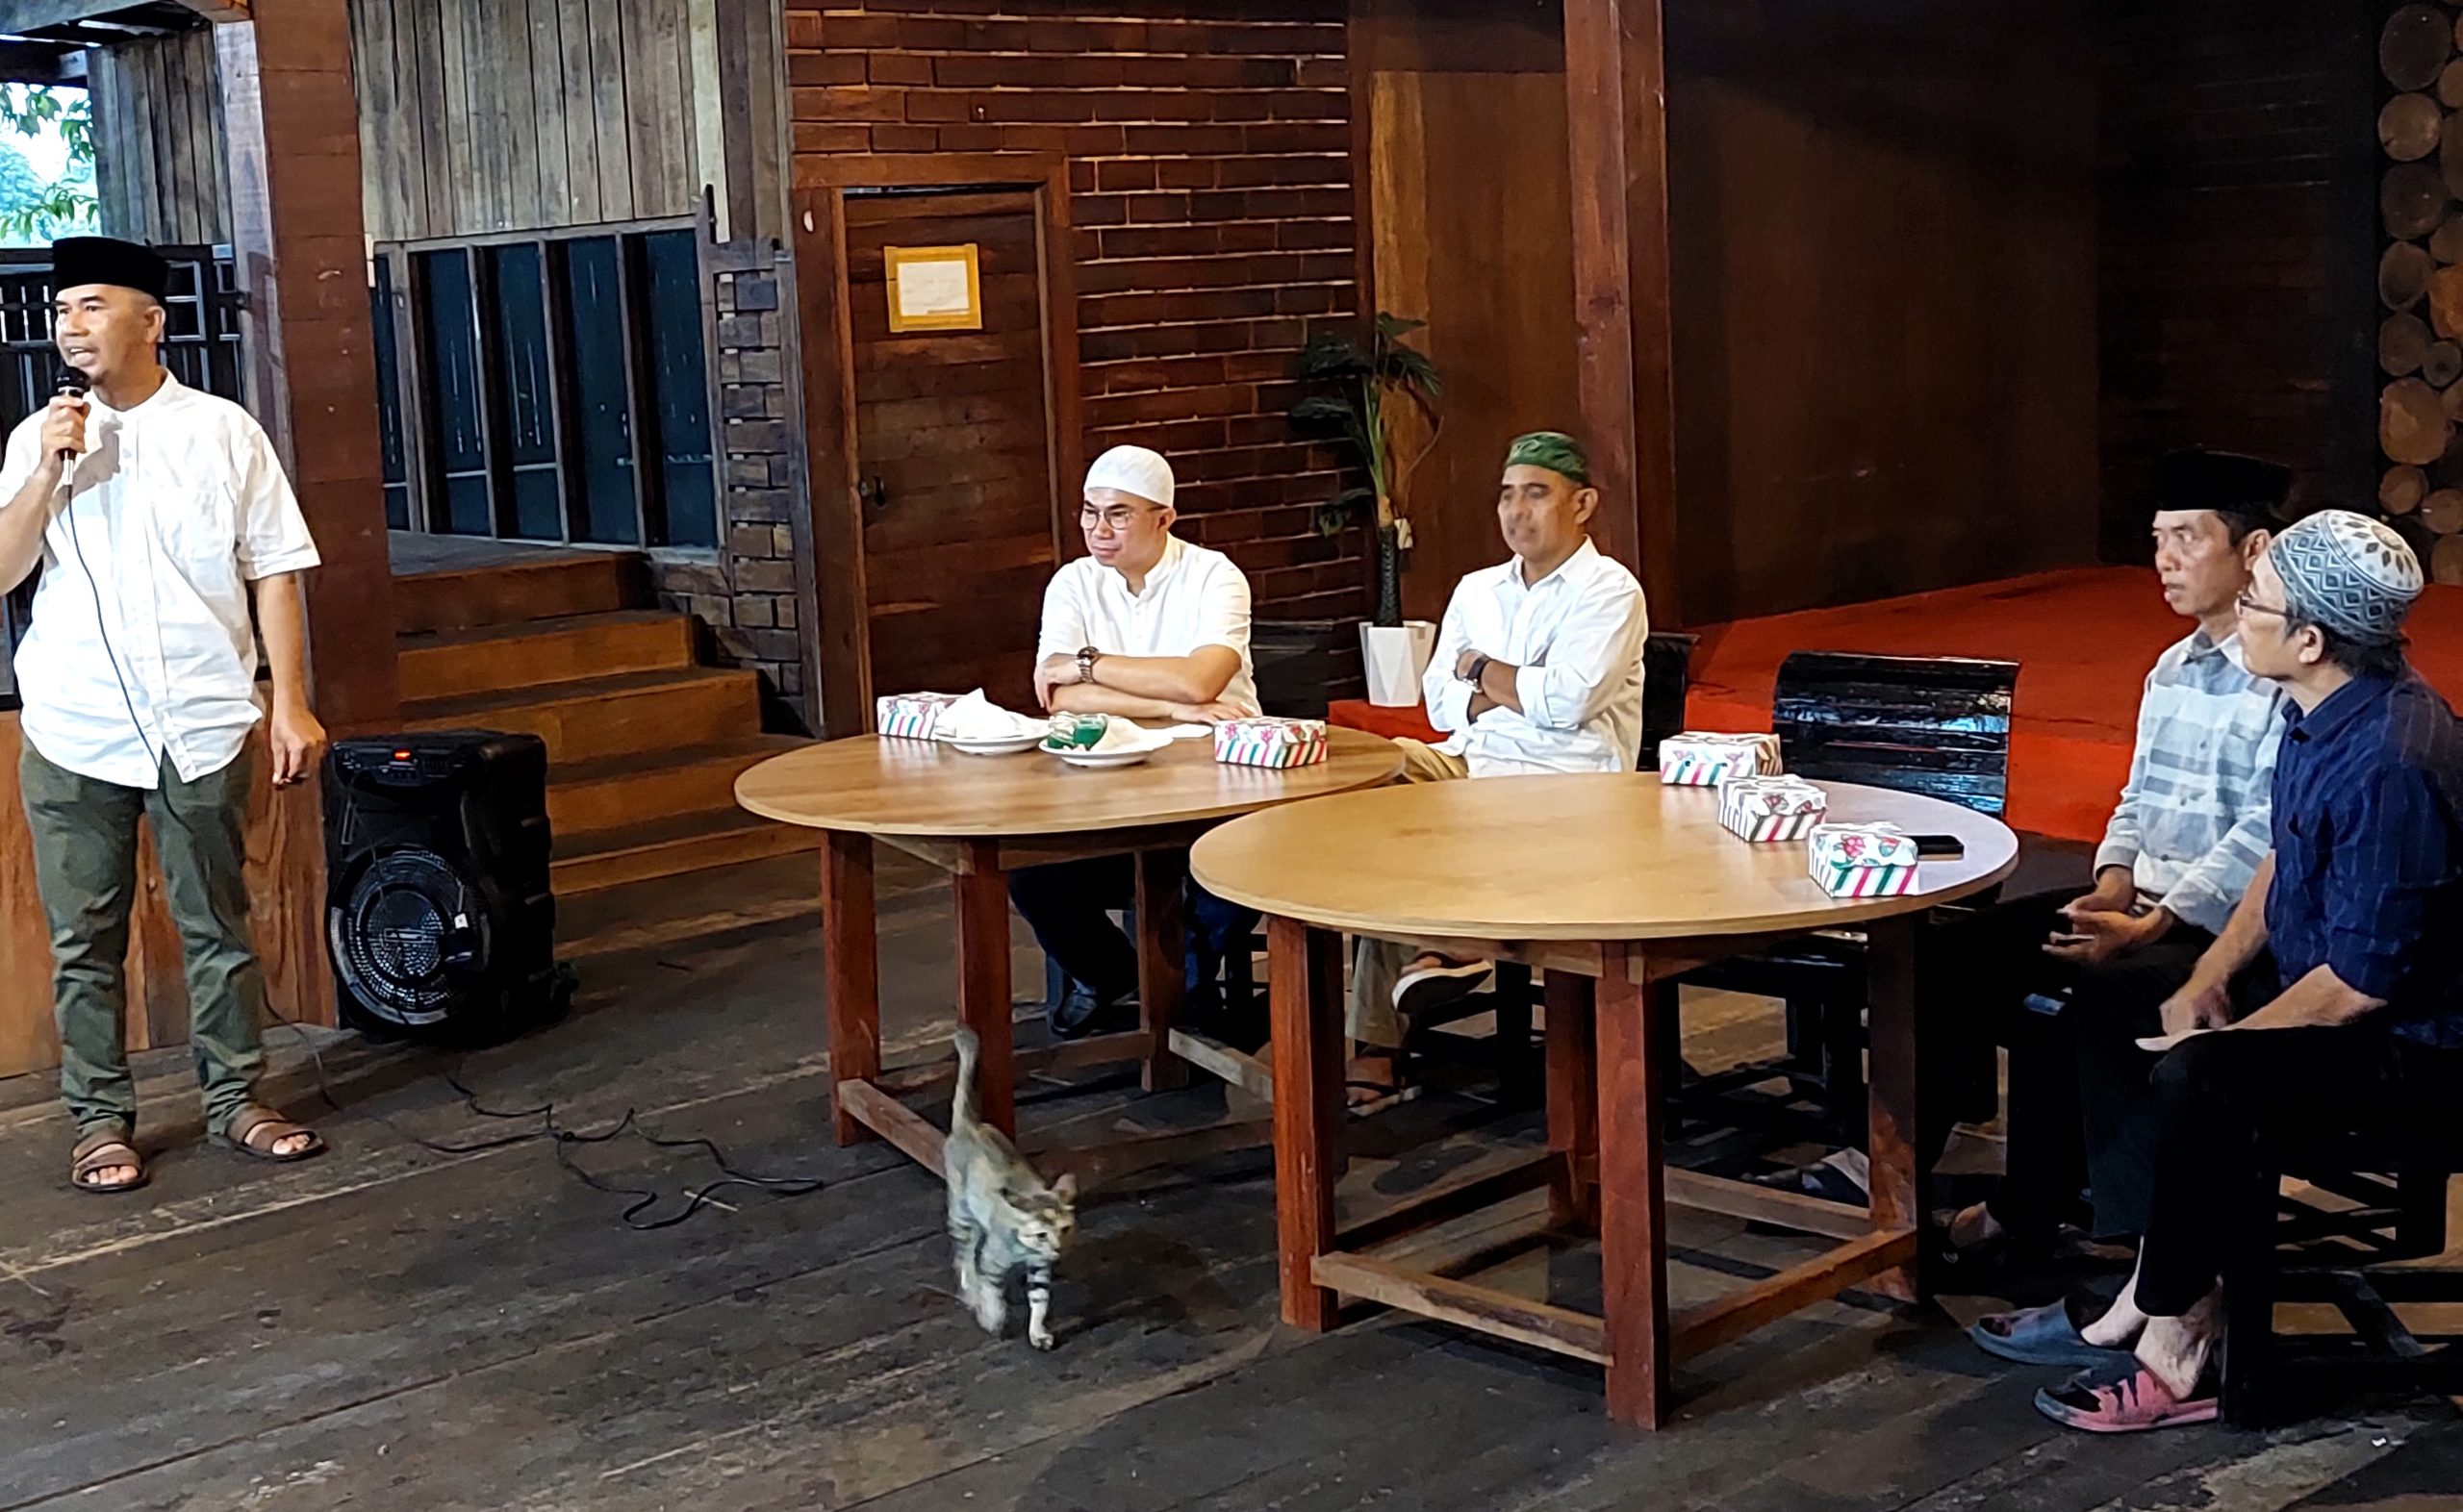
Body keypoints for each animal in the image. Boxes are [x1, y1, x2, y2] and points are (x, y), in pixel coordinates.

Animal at [945, 1026, 1078, 1349]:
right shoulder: (994, 1260)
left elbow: (1040, 1300)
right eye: (1041, 1234)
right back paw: (970, 1290)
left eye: (1065, 1229)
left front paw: (1038, 1332)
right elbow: (992, 1292)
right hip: (962, 1216)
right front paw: (993, 1318)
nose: (1058, 1248)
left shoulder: (1040, 1267)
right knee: (964, 1257)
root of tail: (969, 1124)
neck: (1024, 1247)